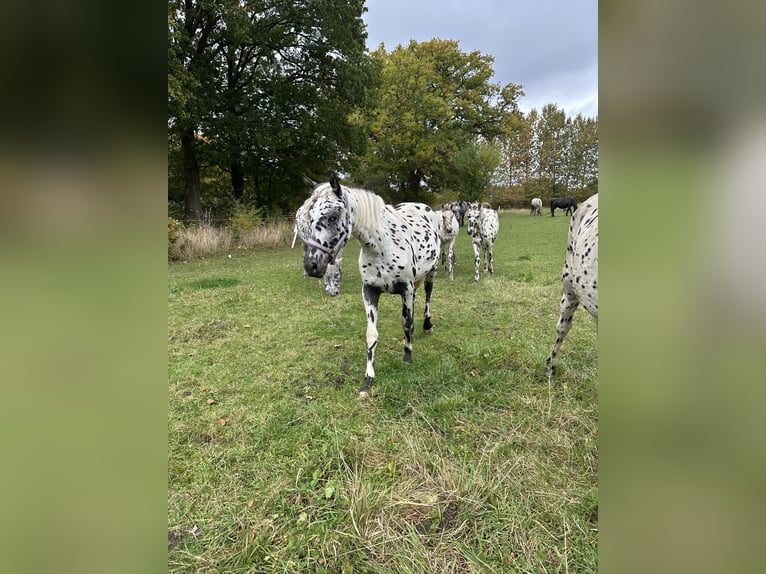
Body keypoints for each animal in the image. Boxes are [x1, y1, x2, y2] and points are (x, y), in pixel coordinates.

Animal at [299, 174, 442, 391]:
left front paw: (407, 355)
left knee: (427, 294)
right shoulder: (369, 291)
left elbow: (406, 321)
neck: (382, 247)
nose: (311, 266)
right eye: (310, 216)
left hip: (430, 273)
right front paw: (368, 377)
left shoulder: (406, 288)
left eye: (333, 216)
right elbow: (371, 334)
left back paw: (427, 324)